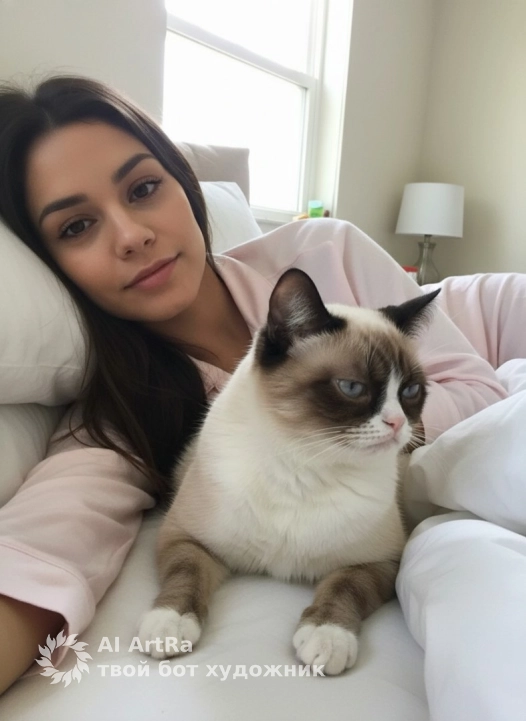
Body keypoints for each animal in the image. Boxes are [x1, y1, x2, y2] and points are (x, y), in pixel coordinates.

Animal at [138, 268, 440, 675]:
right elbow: (185, 576)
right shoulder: (186, 538)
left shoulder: (379, 561)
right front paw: (169, 626)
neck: (306, 463)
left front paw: (326, 639)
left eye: (410, 391)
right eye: (352, 387)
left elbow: (344, 589)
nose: (397, 424)